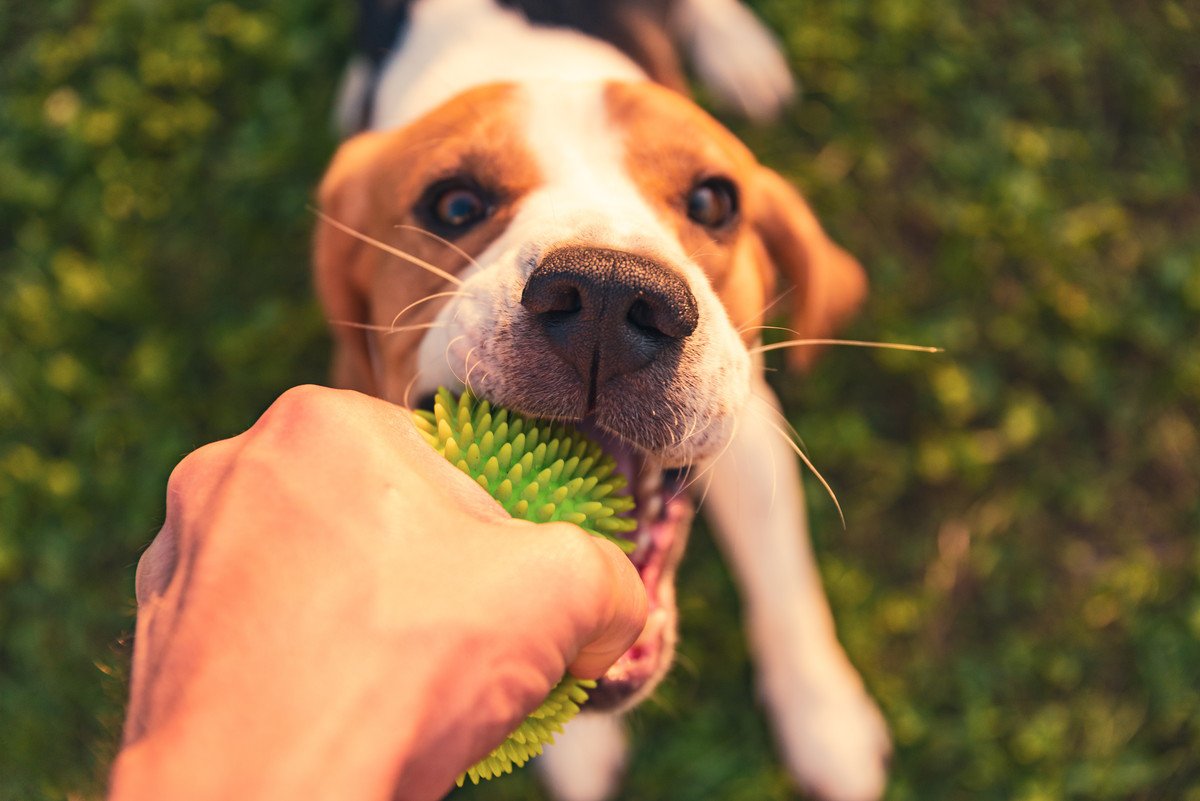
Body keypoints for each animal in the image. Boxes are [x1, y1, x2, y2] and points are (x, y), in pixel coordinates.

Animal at [319, 1, 892, 801]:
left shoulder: (750, 431)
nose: (609, 295)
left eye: (714, 199)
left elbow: (785, 587)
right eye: (454, 203)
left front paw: (824, 721)